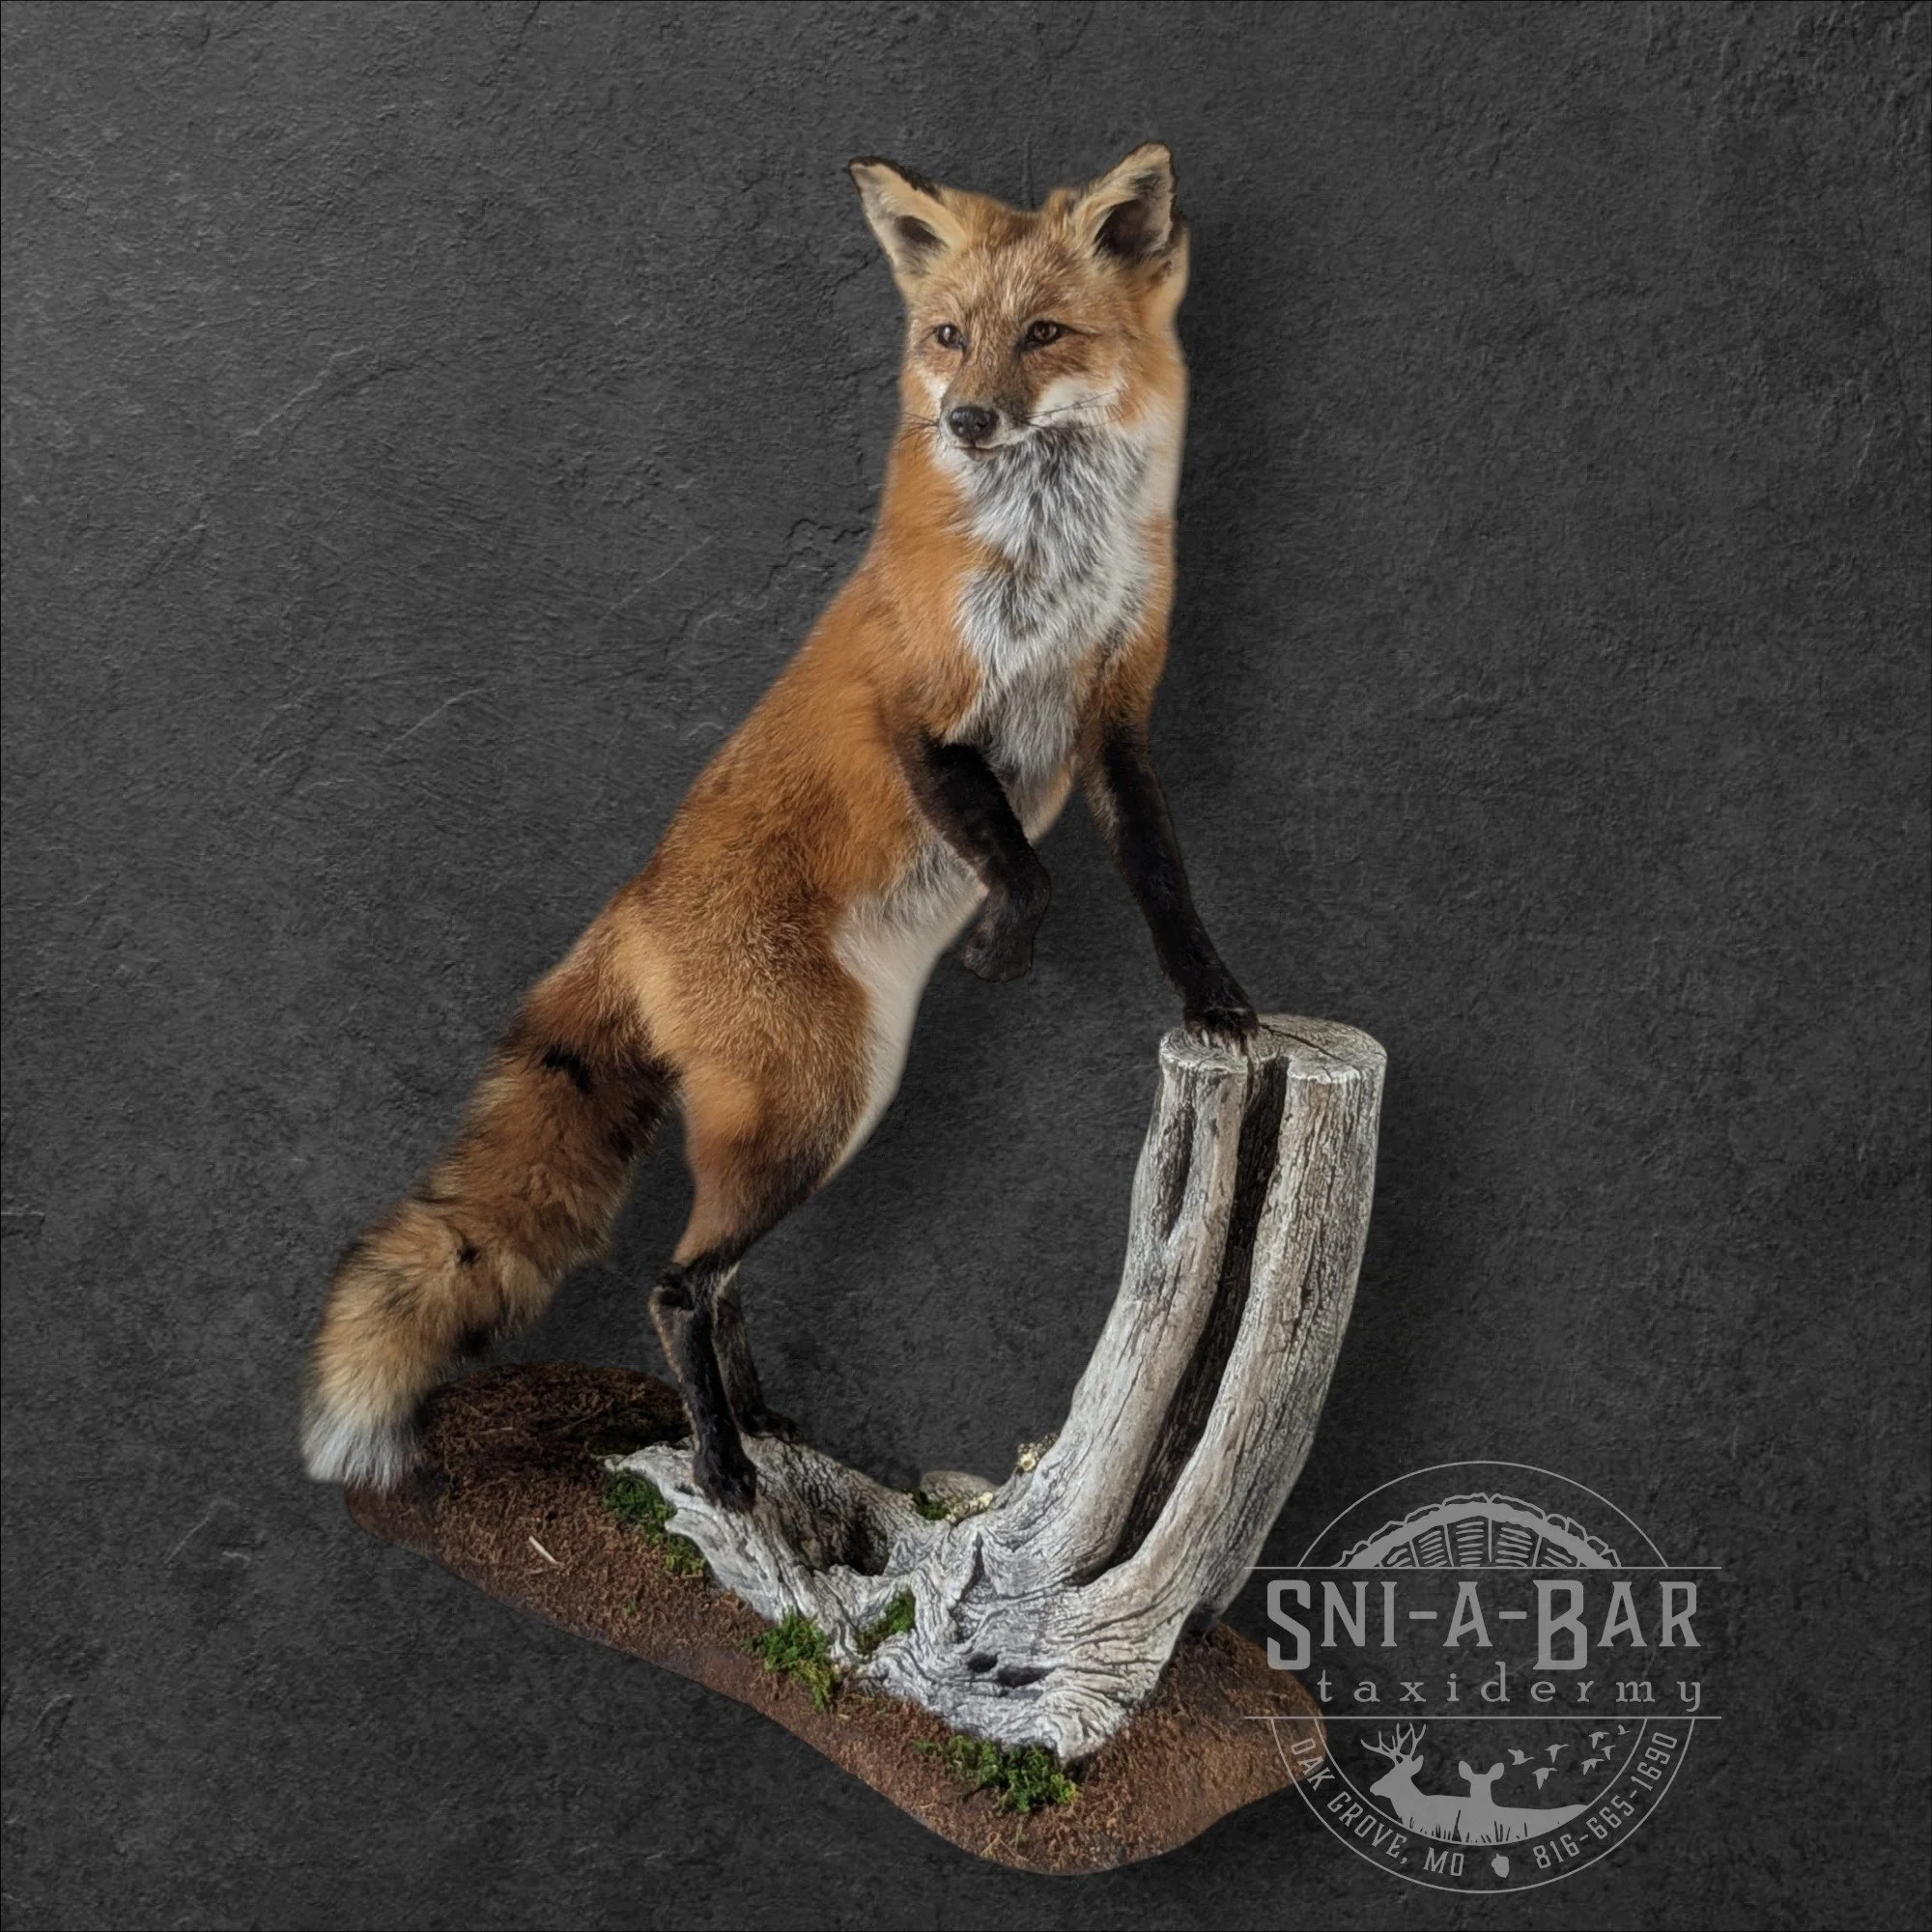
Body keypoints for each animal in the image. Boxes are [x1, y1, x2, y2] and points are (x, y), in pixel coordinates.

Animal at [302, 143, 1257, 1513]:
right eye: (949, 336)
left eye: (1042, 334)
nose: (965, 419)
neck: (1049, 567)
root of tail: (629, 907)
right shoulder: (921, 714)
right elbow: (1023, 867)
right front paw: (1004, 942)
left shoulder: (1115, 717)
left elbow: (1164, 885)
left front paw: (1217, 998)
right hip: (816, 1101)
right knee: (676, 1282)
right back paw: (719, 1461)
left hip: (811, 1107)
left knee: (722, 1279)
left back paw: (758, 1424)